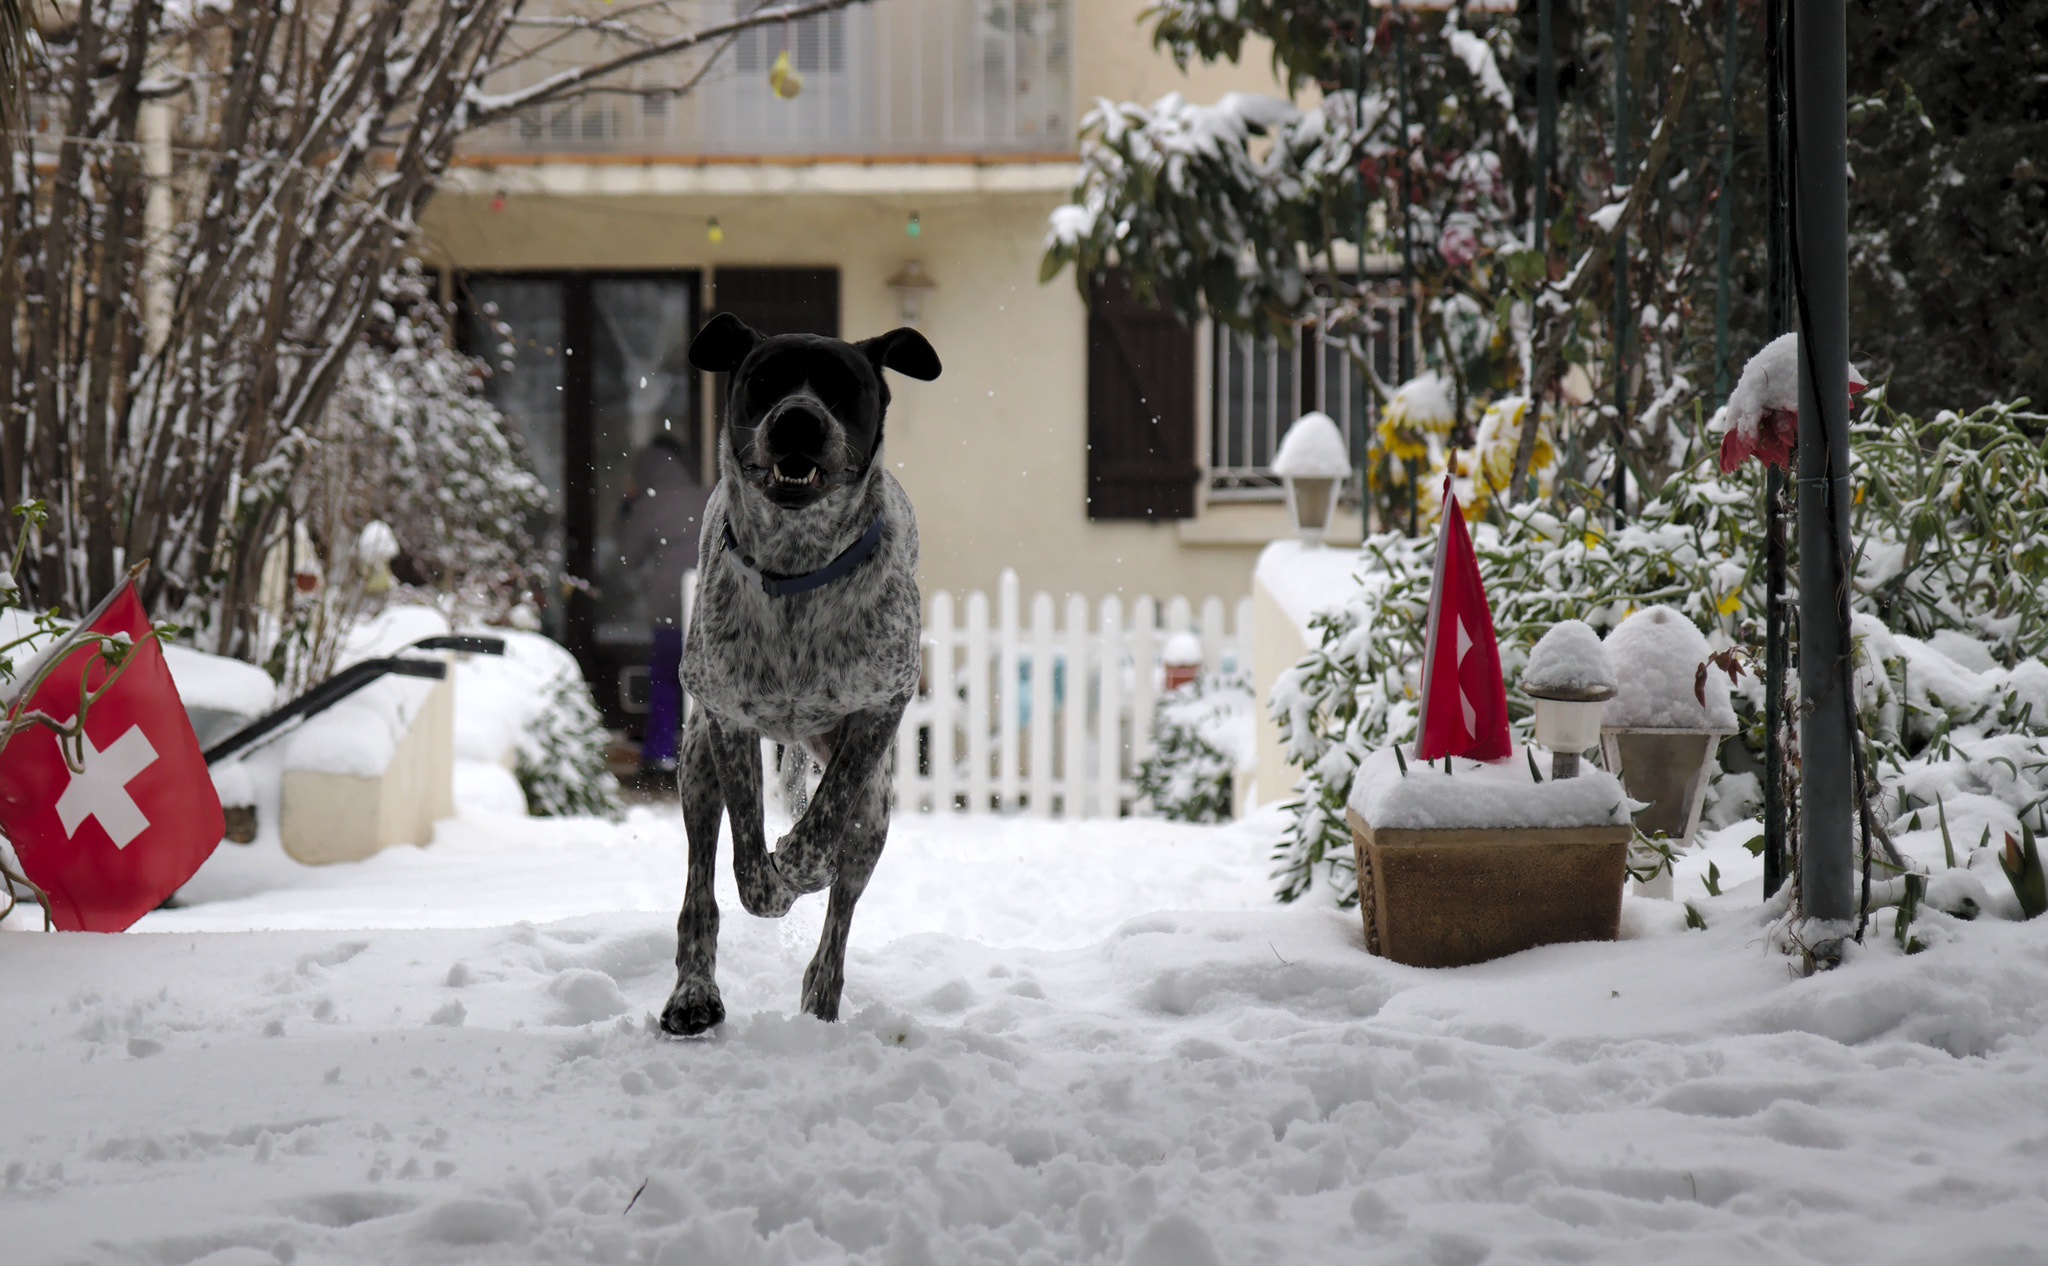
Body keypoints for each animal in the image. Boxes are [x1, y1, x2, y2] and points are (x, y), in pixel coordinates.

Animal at [659, 311, 937, 1028]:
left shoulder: (880, 708)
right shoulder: (727, 719)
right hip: (696, 763)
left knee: (841, 907)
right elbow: (748, 861)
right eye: (765, 379)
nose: (799, 421)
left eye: (845, 387)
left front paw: (800, 864)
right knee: (700, 887)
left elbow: (823, 823)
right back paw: (694, 992)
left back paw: (822, 993)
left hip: (877, 807)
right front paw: (773, 880)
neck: (797, 571)